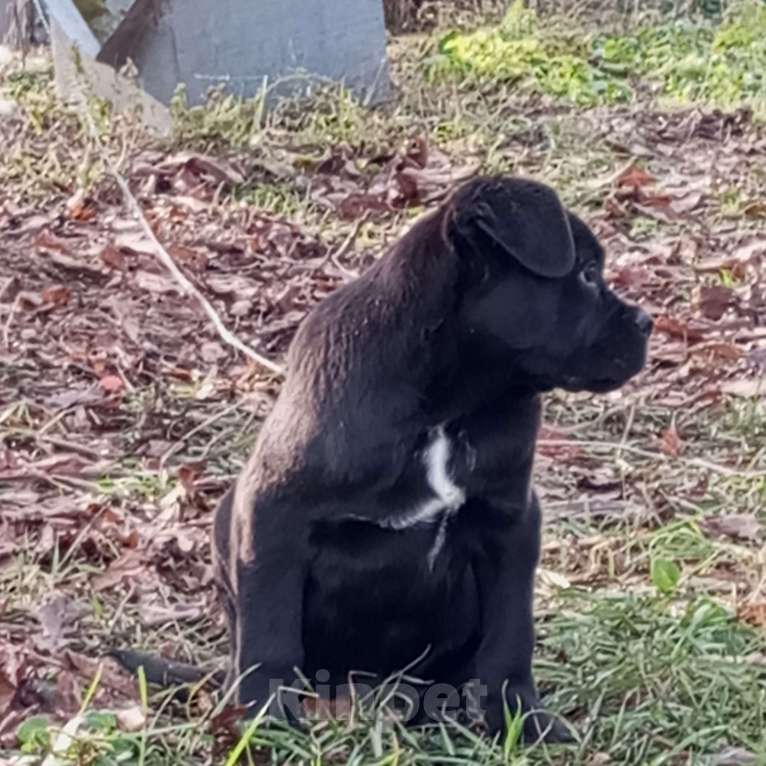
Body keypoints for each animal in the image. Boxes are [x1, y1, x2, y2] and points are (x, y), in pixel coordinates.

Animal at [212, 176, 656, 744]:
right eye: (587, 273)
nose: (647, 322)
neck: (447, 409)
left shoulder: (511, 521)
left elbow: (511, 635)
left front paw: (521, 719)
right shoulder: (272, 513)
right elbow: (270, 636)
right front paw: (265, 723)